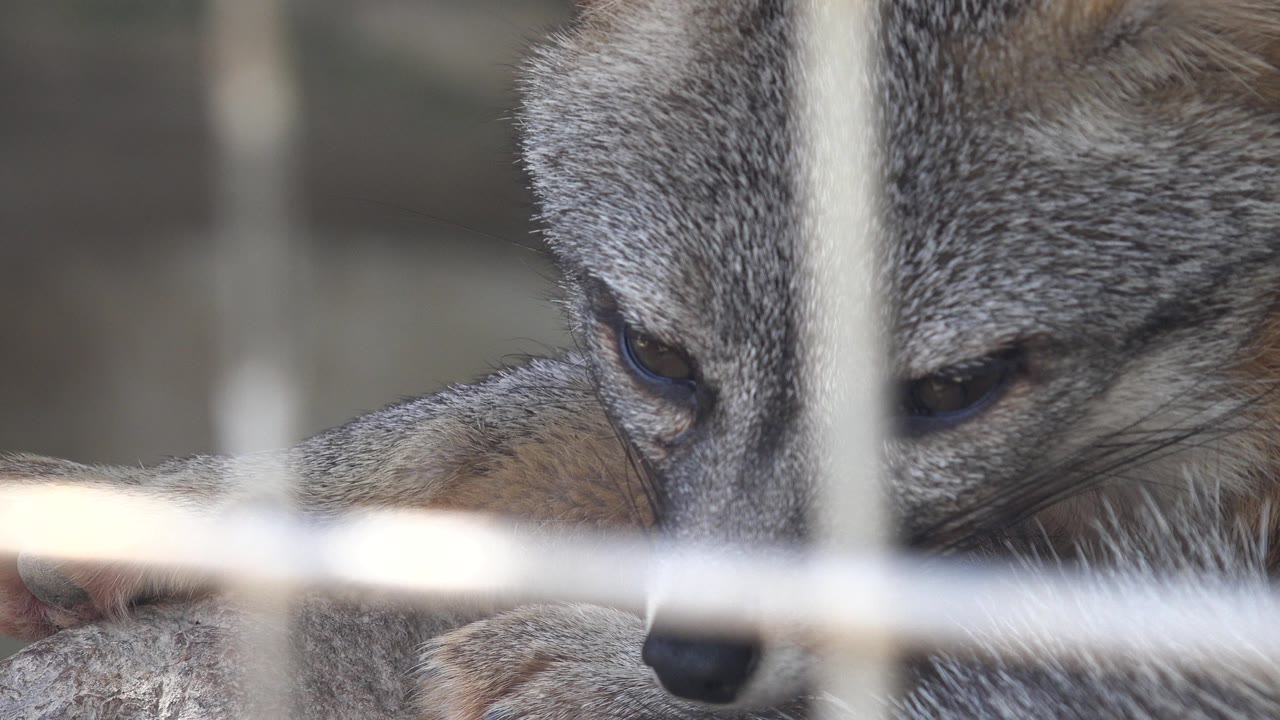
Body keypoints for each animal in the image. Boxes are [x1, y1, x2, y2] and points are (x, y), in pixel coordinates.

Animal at [5, 0, 1280, 717]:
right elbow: (458, 425)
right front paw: (146, 508)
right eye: (654, 356)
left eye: (950, 395)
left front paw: (600, 666)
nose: (692, 667)